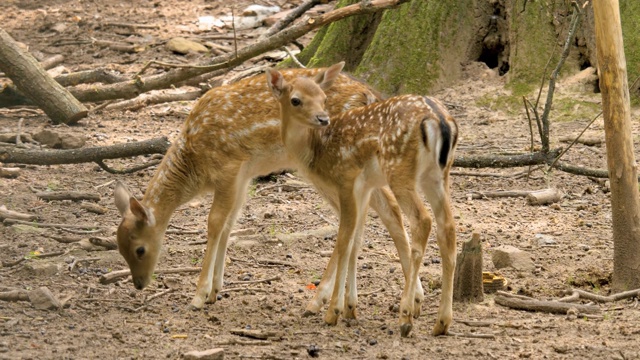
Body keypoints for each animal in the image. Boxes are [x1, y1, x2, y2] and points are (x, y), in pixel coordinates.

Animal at [114, 66, 424, 316]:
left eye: (140, 249)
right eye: (119, 248)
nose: (139, 284)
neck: (194, 163)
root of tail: (370, 95)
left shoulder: (228, 167)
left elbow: (214, 223)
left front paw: (199, 295)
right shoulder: (243, 176)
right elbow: (230, 224)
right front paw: (216, 289)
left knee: (366, 217)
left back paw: (321, 301)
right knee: (382, 212)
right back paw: (412, 295)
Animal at [268, 62, 458, 338]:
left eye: (323, 98)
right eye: (296, 99)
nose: (322, 118)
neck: (316, 152)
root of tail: (440, 121)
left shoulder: (346, 181)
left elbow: (343, 240)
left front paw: (331, 311)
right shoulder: (365, 187)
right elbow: (356, 240)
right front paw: (349, 307)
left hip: (399, 170)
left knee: (422, 220)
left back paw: (405, 317)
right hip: (438, 176)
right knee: (449, 227)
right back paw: (441, 322)